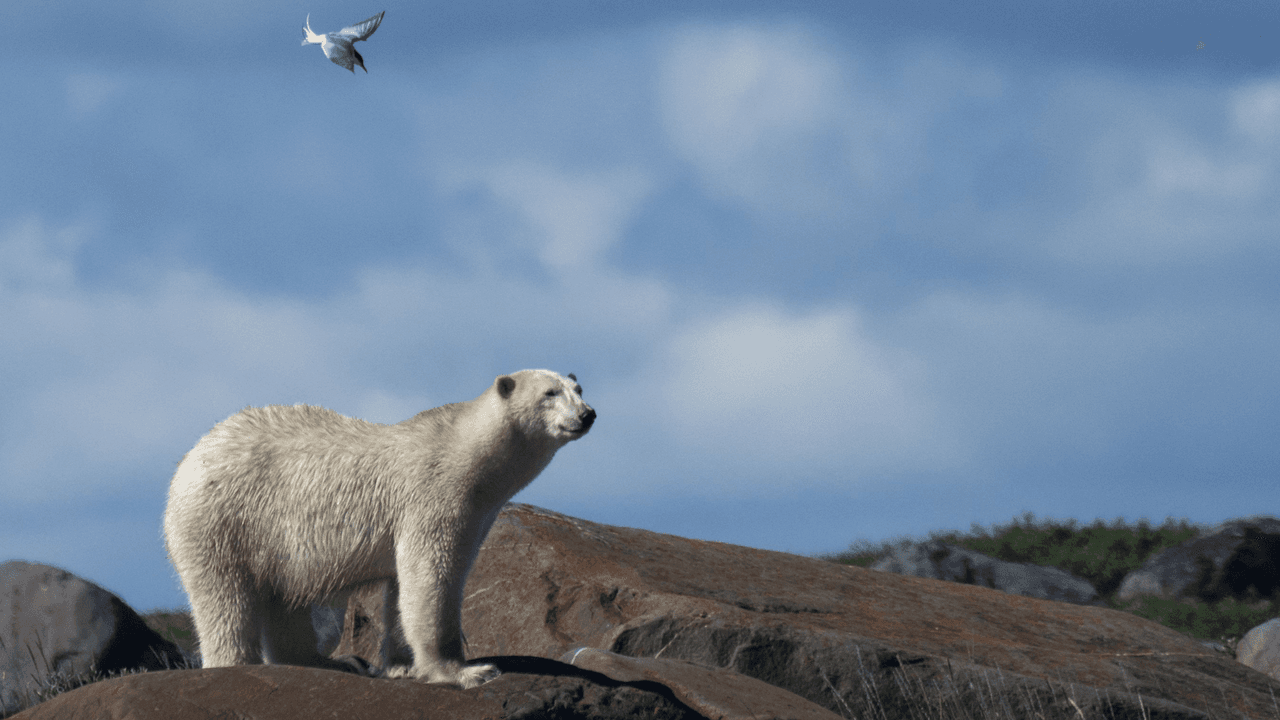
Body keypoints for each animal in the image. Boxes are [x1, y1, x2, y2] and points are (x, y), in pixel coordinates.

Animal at [163, 369, 595, 688]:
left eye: (578, 388)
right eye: (550, 392)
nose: (587, 414)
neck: (464, 450)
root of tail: (191, 457)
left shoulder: (473, 513)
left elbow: (403, 589)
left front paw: (403, 666)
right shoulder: (433, 498)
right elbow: (432, 579)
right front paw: (466, 671)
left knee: (283, 598)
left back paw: (329, 663)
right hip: (224, 520)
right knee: (226, 599)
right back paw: (237, 663)